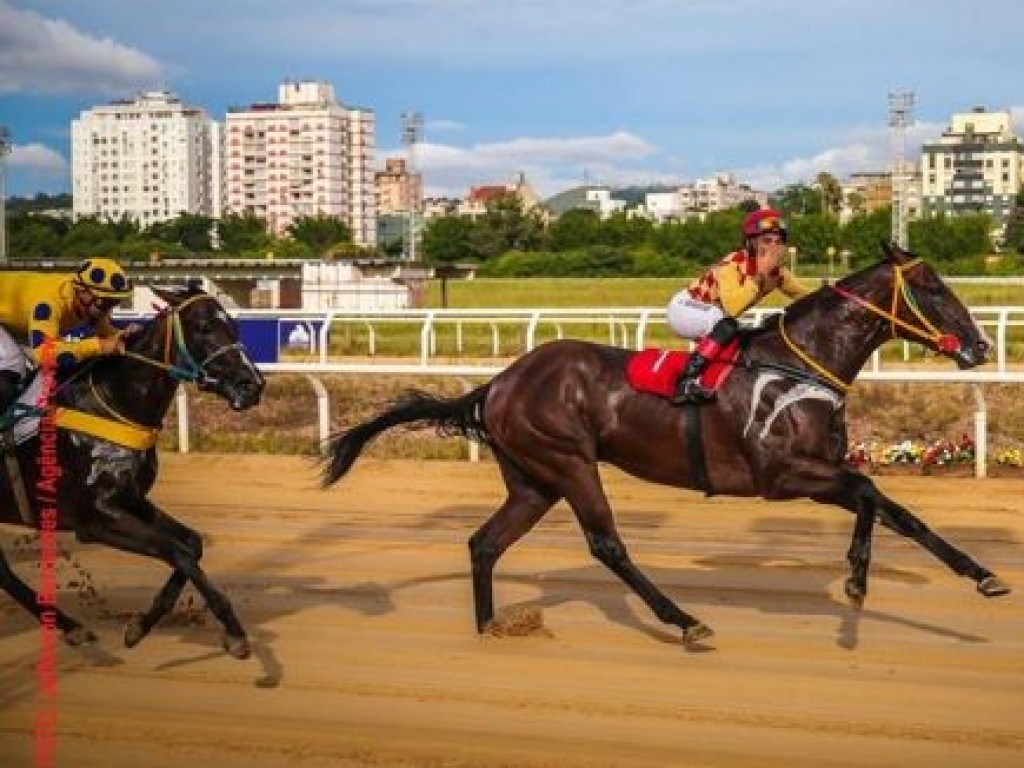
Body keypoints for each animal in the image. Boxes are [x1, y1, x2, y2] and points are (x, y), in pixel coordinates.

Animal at [325, 244, 1007, 643]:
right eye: (935, 288)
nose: (980, 347)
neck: (800, 365)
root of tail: (499, 381)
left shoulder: (821, 471)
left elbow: (901, 512)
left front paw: (983, 576)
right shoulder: (783, 477)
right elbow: (868, 492)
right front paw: (857, 580)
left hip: (533, 480)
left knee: (484, 542)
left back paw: (492, 625)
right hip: (568, 463)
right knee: (606, 544)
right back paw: (683, 619)